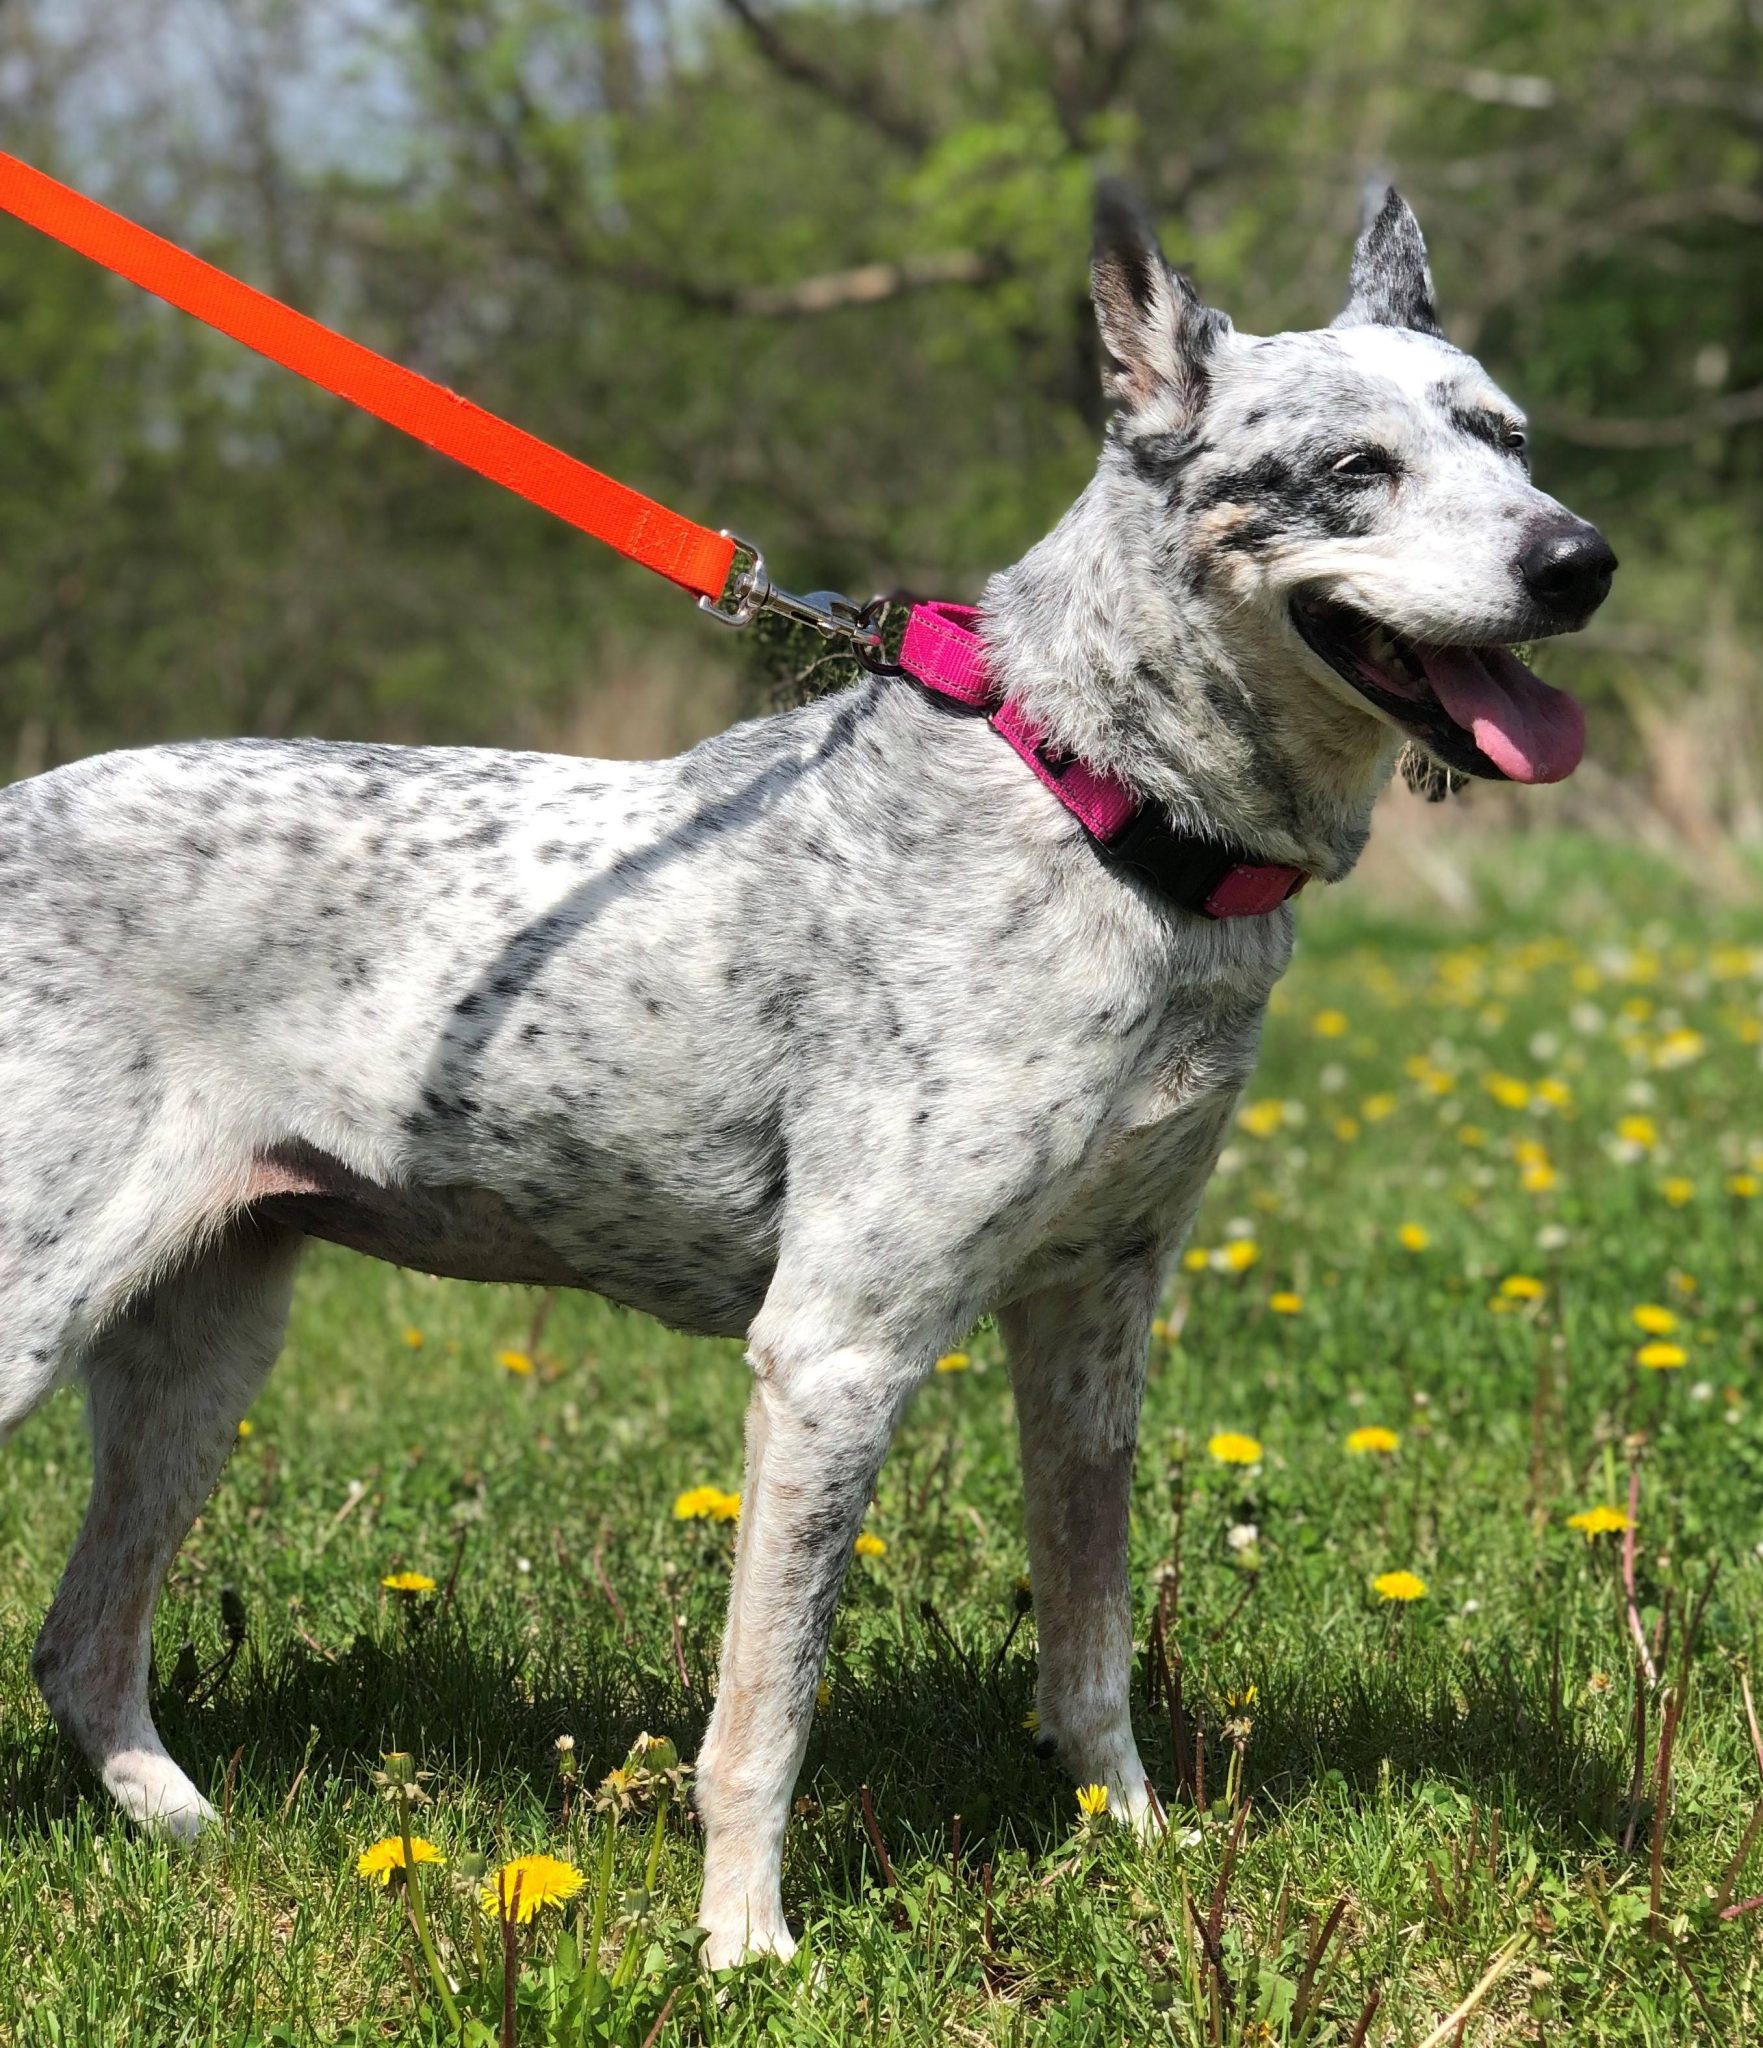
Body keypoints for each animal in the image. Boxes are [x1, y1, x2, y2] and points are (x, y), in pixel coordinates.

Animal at [0, 184, 1613, 1966]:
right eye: (1351, 467)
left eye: (1507, 440)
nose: (1577, 560)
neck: (1098, 807)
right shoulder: (834, 1356)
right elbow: (761, 1714)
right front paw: (742, 1949)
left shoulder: (1094, 1328)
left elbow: (1089, 1644)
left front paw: (1128, 1845)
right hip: (48, 1318)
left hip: (201, 1351)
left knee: (81, 1644)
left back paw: (188, 1828)